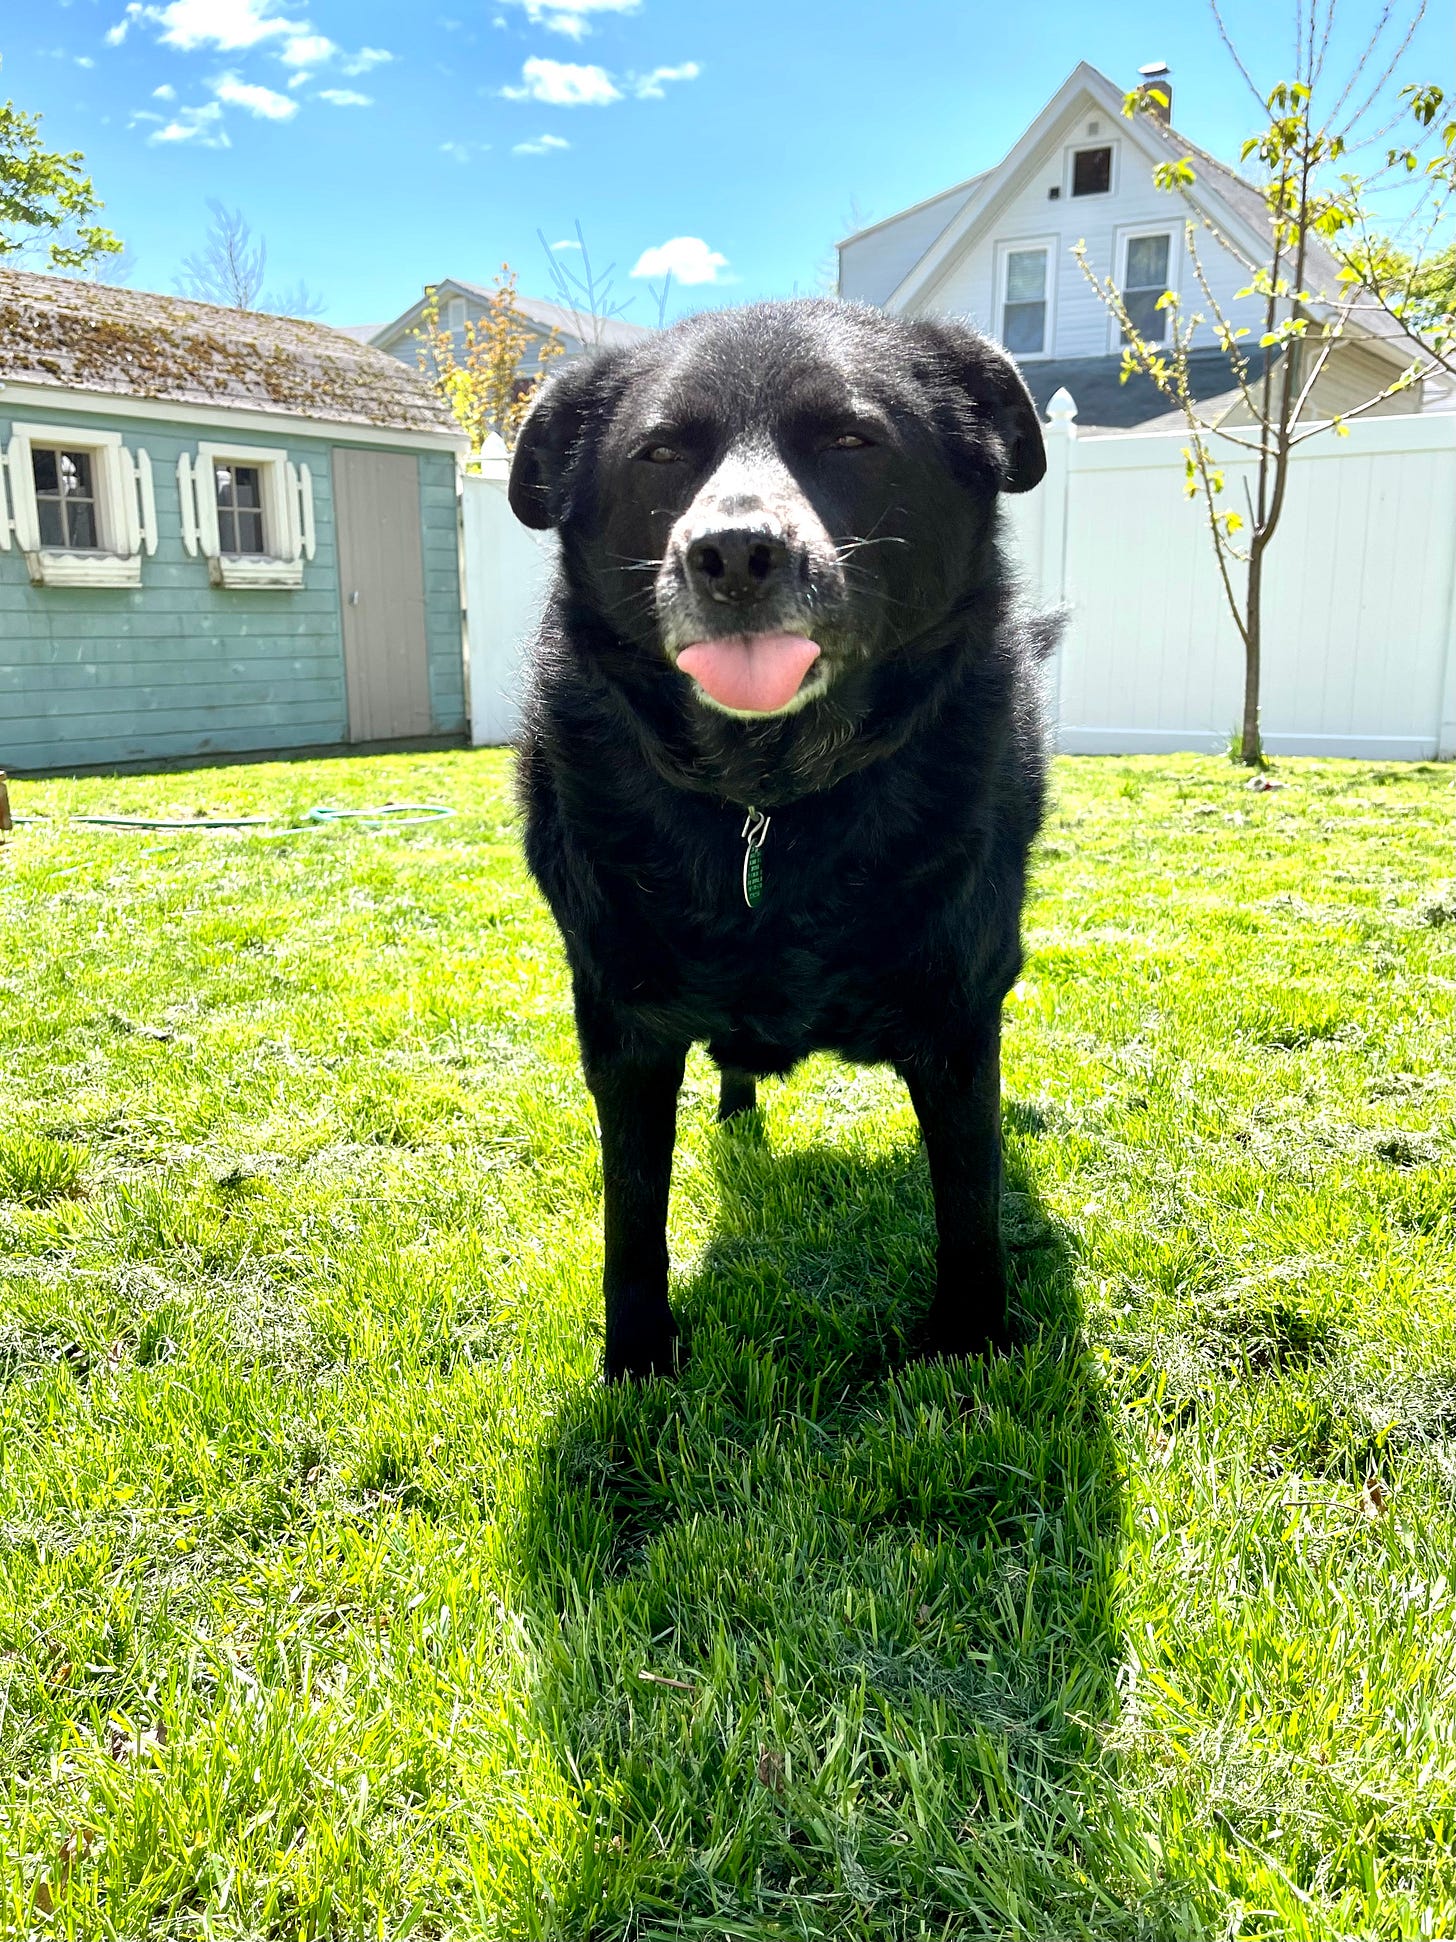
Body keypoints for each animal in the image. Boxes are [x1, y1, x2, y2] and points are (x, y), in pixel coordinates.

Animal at [508, 295, 1056, 1374]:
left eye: (851, 439)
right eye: (660, 453)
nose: (731, 554)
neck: (769, 794)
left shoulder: (960, 1012)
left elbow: (968, 1196)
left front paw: (969, 1342)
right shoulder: (621, 1023)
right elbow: (632, 1211)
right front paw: (637, 1357)